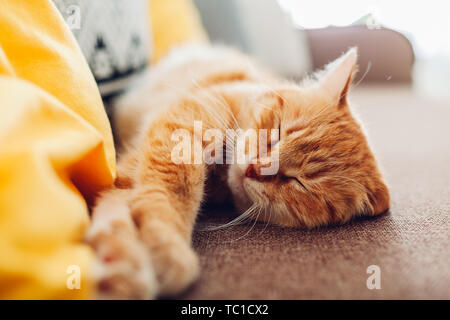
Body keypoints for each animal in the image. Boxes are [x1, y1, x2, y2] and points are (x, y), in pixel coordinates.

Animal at [86, 43, 388, 298]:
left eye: (298, 183)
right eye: (278, 132)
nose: (255, 168)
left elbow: (121, 205)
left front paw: (123, 260)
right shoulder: (180, 128)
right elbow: (168, 190)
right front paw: (162, 244)